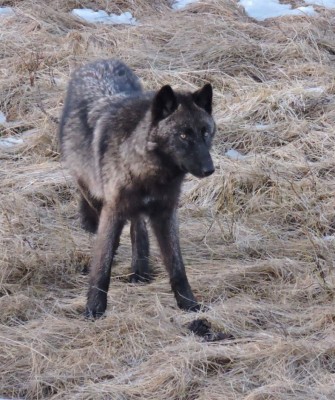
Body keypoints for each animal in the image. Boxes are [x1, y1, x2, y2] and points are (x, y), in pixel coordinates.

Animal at [59, 59, 217, 318]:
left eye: (205, 132)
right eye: (184, 135)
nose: (209, 169)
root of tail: (100, 61)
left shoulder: (166, 213)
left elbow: (177, 267)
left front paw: (189, 305)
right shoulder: (112, 210)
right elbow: (102, 265)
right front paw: (94, 309)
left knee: (138, 228)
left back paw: (140, 270)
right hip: (92, 191)